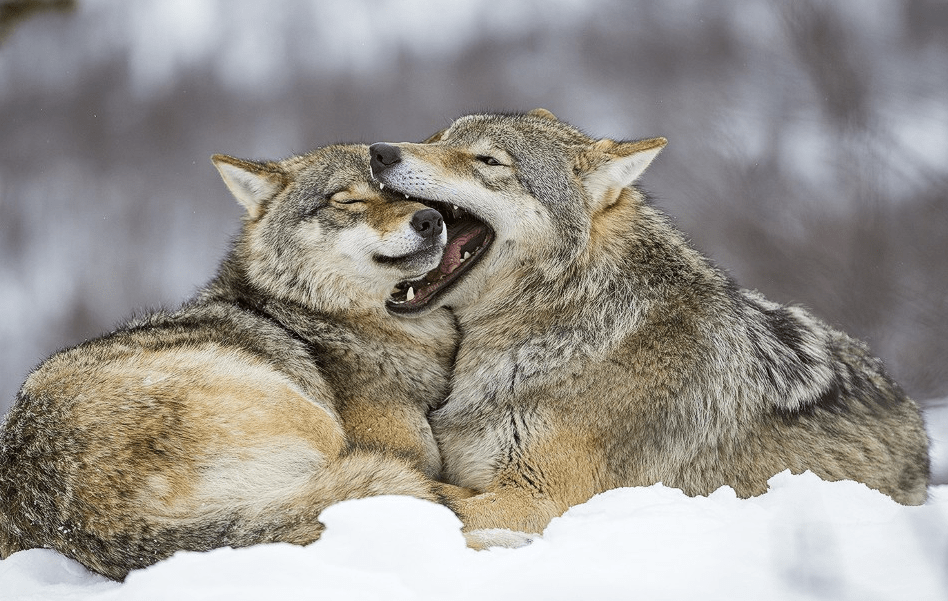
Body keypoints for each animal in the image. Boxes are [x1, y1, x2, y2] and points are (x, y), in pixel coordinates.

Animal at [0, 144, 479, 580]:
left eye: (415, 196)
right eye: (348, 200)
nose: (430, 220)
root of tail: (96, 521)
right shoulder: (401, 452)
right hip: (312, 419)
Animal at [368, 109, 931, 536]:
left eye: (488, 161)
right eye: (439, 139)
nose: (379, 151)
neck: (571, 316)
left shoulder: (534, 499)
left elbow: (422, 498)